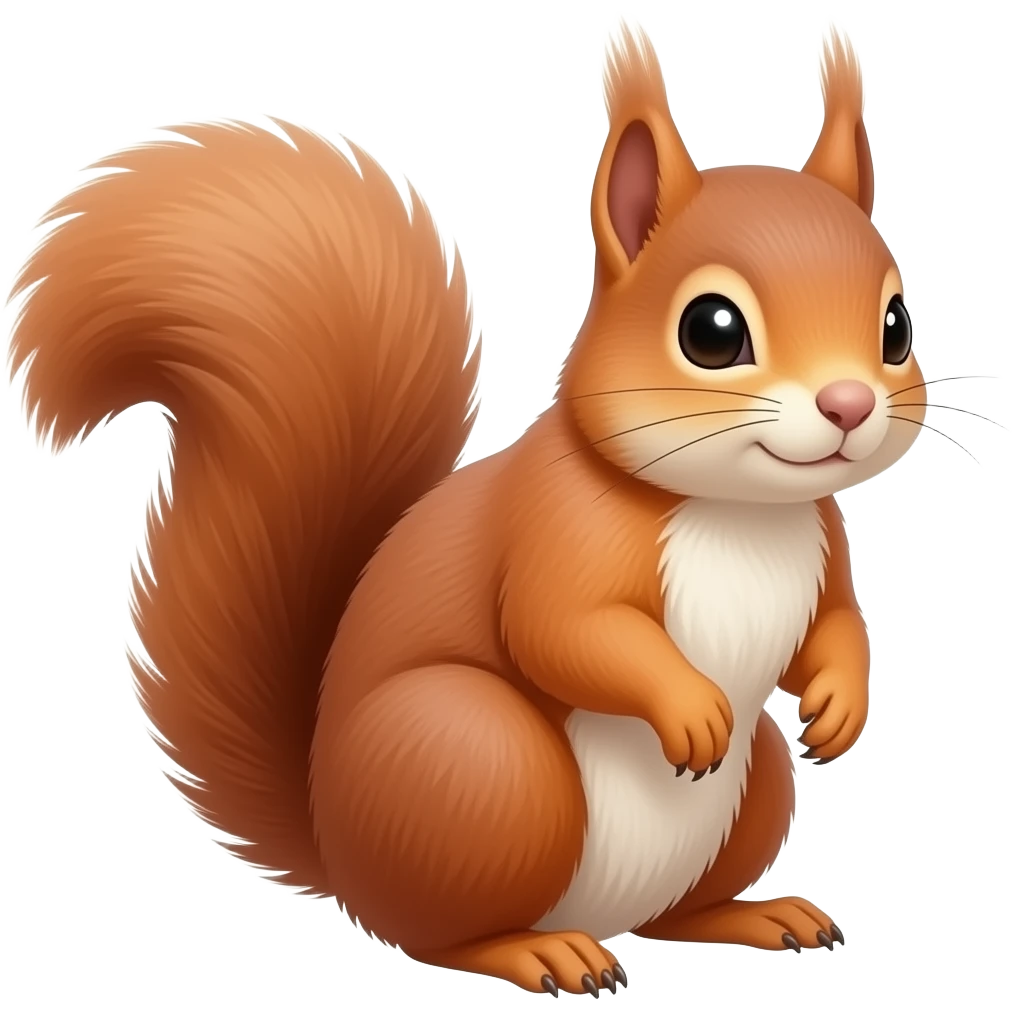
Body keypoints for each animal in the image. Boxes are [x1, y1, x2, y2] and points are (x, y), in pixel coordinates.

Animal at [5, 13, 925, 997]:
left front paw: (842, 702)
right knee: (437, 933)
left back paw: (753, 915)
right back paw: (538, 951)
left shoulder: (824, 545)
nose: (848, 405)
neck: (738, 511)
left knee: (674, 912)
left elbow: (835, 624)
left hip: (753, 786)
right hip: (479, 763)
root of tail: (339, 850)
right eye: (711, 331)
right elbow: (564, 628)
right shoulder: (561, 530)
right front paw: (688, 706)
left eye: (896, 325)